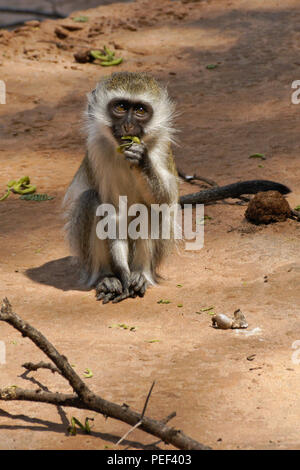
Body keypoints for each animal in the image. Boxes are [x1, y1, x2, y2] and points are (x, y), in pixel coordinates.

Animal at [63, 71, 290, 302]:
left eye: (140, 110)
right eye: (120, 107)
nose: (127, 127)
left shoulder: (161, 149)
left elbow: (164, 199)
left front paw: (142, 160)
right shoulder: (95, 150)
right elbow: (111, 210)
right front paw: (122, 273)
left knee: (149, 208)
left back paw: (141, 275)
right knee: (91, 199)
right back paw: (107, 277)